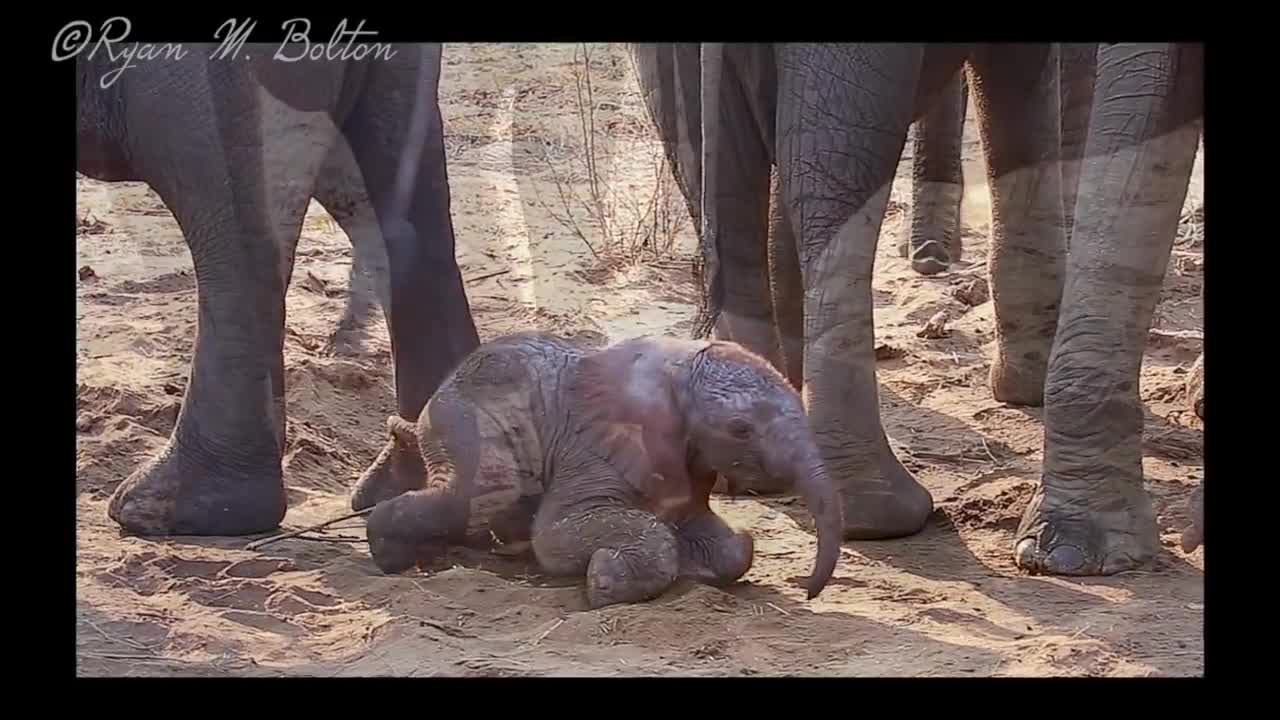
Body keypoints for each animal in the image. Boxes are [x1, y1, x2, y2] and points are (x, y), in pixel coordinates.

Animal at [355, 330, 844, 604]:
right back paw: (390, 553)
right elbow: (554, 535)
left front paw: (699, 566)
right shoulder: (593, 446)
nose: (808, 590)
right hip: (466, 423)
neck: (676, 370)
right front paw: (604, 582)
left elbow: (731, 547)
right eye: (741, 429)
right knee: (475, 497)